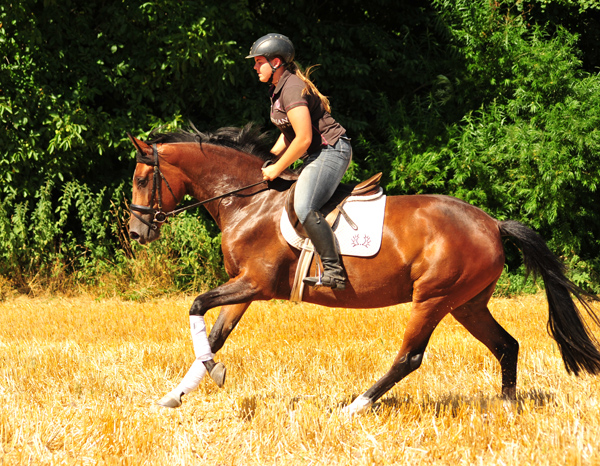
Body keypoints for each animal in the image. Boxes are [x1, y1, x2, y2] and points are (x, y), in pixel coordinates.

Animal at [126, 124, 600, 416]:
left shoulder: (253, 283)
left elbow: (196, 307)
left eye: (142, 180)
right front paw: (174, 396)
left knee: (410, 356)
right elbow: (215, 334)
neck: (249, 200)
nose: (135, 232)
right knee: (506, 346)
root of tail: (492, 223)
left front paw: (213, 373)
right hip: (467, 304)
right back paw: (506, 409)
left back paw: (355, 406)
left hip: (433, 298)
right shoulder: (245, 289)